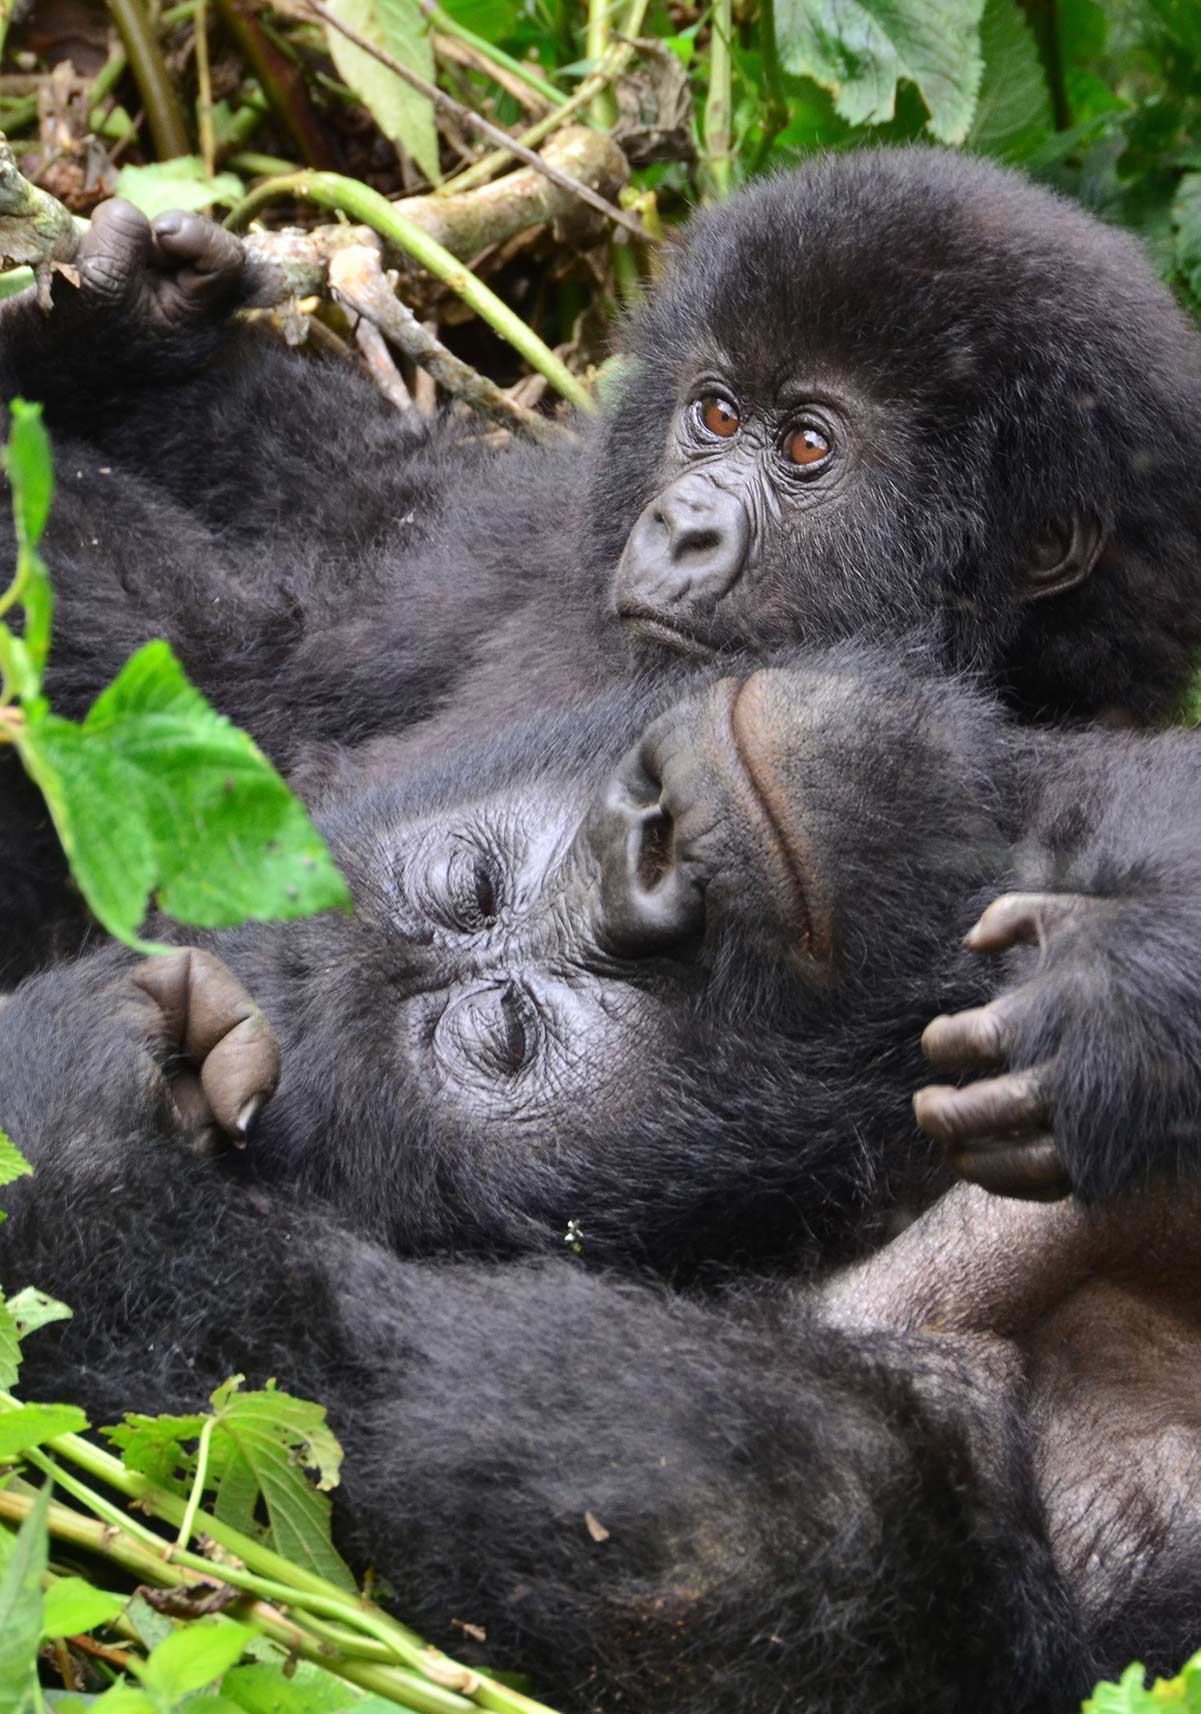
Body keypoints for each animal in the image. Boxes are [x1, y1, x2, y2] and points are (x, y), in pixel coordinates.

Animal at [2, 147, 1199, 987]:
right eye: (715, 414)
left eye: (808, 447)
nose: (680, 526)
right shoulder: (543, 527)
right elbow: (309, 614)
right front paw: (133, 331)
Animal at [7, 647, 1199, 1707]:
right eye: (506, 1032)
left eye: (472, 884)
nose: (647, 849)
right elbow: (745, 1534)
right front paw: (64, 1135)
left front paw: (1131, 985)